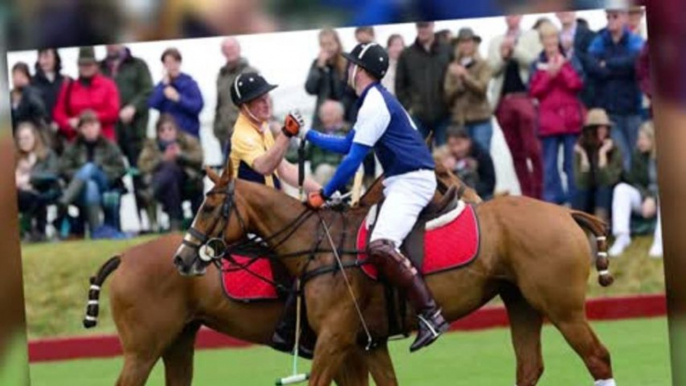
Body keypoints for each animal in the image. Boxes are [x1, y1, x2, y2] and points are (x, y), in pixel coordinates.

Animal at [172, 163, 620, 386]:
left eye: (208, 207)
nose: (182, 258)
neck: (316, 244)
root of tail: (565, 211)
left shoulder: (335, 338)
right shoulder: (367, 342)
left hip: (561, 306)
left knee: (597, 358)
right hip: (521, 301)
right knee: (529, 367)